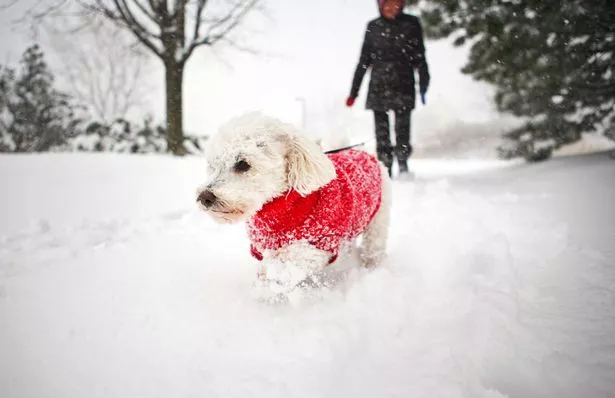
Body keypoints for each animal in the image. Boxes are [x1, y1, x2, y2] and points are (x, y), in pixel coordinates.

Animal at [196, 112, 390, 292]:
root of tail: (362, 152)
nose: (205, 197)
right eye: (212, 165)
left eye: (243, 164)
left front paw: (266, 289)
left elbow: (285, 271)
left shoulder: (319, 245)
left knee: (374, 245)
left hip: (377, 221)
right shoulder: (261, 248)